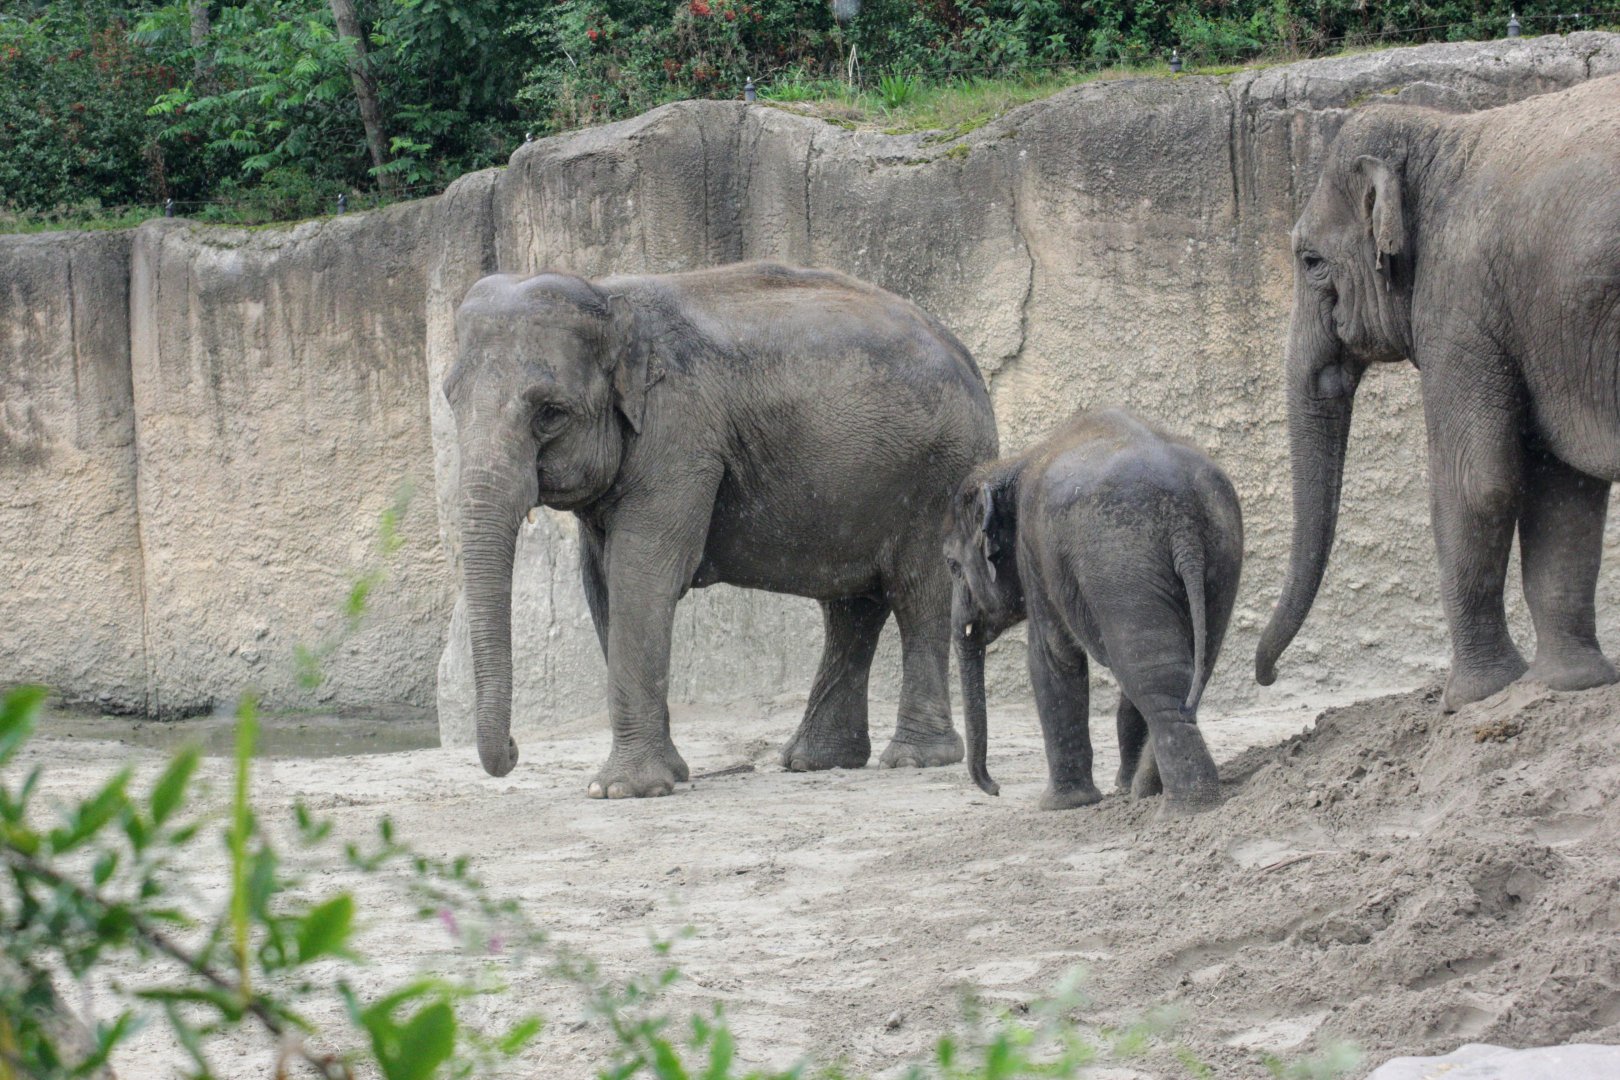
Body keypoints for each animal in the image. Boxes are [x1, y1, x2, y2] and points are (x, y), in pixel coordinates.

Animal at [446, 261, 999, 795]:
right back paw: (816, 761)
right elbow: (602, 585)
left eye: (550, 413)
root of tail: (966, 357)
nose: (514, 748)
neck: (607, 295)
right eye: (450, 399)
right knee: (851, 608)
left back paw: (915, 758)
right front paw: (669, 776)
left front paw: (623, 790)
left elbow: (642, 574)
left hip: (939, 475)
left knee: (918, 593)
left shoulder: (681, 435)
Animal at [945, 408, 1244, 814]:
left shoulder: (1035, 552)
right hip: (1219, 553)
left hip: (1119, 558)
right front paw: (1118, 788)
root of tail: (1183, 517)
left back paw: (1184, 806)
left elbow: (1052, 657)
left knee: (1153, 674)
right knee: (1187, 665)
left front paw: (1061, 805)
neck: (1014, 463)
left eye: (952, 566)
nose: (995, 789)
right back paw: (1145, 791)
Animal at [1255, 74, 1620, 712]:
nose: (1267, 676)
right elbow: (1564, 487)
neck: (1442, 135)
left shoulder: (1461, 303)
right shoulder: (1540, 333)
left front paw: (1471, 697)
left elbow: (1478, 482)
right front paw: (1569, 684)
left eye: (1311, 260)